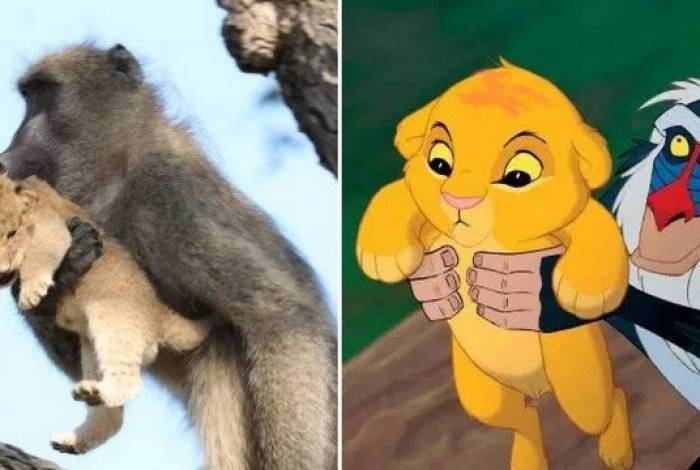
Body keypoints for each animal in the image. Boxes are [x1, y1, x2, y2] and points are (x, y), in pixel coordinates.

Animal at [0, 174, 212, 454]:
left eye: (11, 233)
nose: (3, 269)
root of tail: (159, 312)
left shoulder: (51, 227)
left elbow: (39, 255)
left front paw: (32, 292)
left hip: (112, 323)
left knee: (130, 383)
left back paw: (96, 396)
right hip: (92, 351)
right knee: (112, 416)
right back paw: (73, 438)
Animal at [356, 61, 633, 469]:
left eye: (519, 176)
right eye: (440, 163)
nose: (458, 200)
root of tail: (538, 388)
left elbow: (594, 223)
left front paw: (584, 290)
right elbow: (396, 193)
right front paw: (382, 256)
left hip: (579, 378)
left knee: (605, 402)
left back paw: (616, 449)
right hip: (482, 394)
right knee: (523, 420)